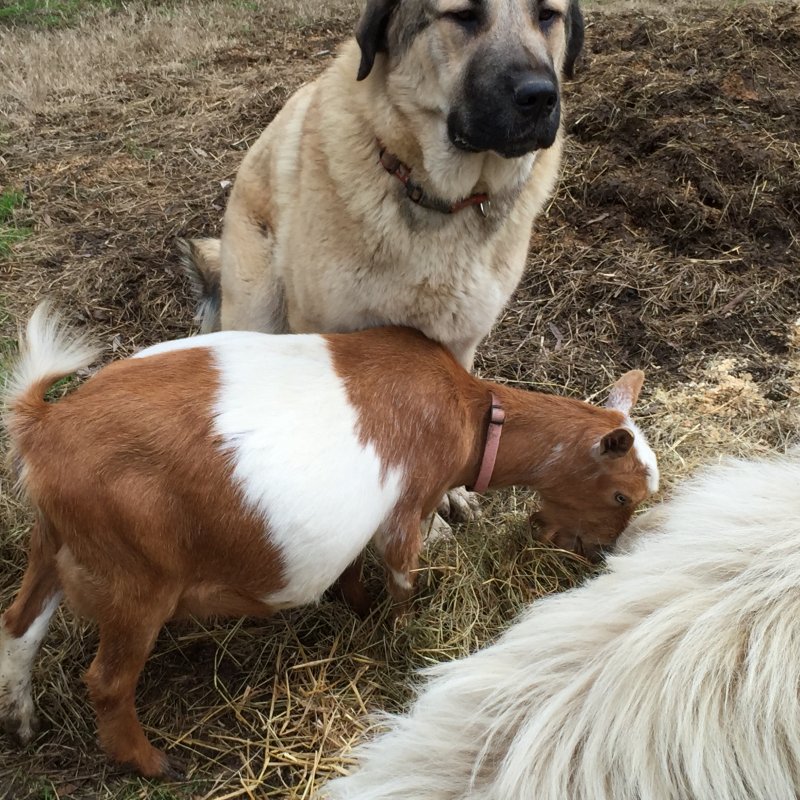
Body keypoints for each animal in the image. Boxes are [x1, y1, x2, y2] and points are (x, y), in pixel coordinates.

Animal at [0, 304, 660, 780]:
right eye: (620, 497)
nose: (600, 553)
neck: (472, 415)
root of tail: (45, 427)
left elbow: (352, 571)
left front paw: (357, 606)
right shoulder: (407, 509)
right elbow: (401, 577)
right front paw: (397, 633)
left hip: (52, 544)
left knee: (18, 625)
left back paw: (21, 722)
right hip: (139, 582)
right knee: (107, 683)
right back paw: (153, 763)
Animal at [185, 0, 584, 520]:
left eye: (548, 16)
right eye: (463, 15)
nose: (539, 97)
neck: (436, 197)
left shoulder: (457, 342)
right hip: (258, 306)